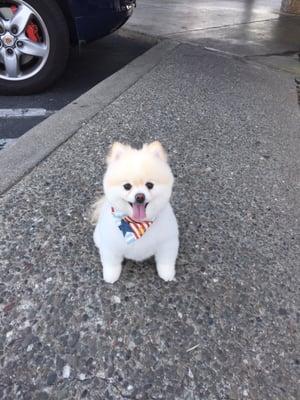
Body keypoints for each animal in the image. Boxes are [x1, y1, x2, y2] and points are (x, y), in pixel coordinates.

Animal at [92, 142, 179, 282]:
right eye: (127, 186)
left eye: (150, 185)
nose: (140, 197)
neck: (137, 223)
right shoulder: (110, 246)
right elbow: (111, 263)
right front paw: (110, 276)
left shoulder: (168, 242)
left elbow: (166, 261)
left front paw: (167, 274)